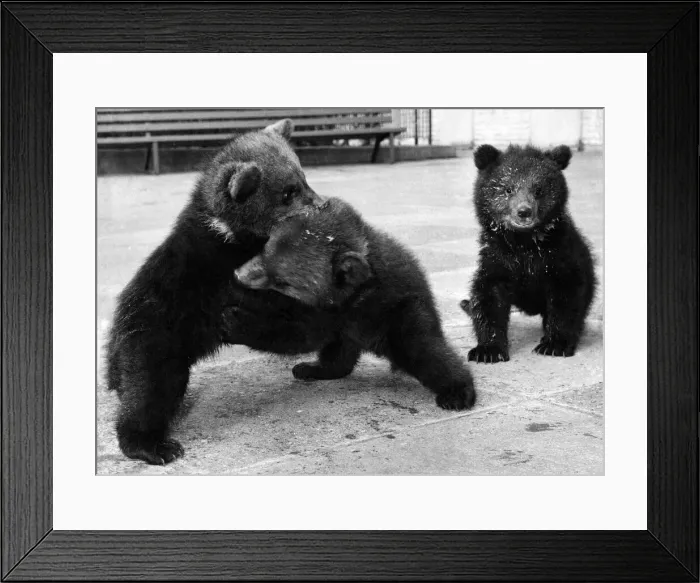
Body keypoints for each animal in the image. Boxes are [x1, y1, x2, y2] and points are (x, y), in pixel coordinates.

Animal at [106, 119, 325, 465]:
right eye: (287, 192)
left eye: (303, 178)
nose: (322, 204)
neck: (231, 231)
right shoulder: (217, 268)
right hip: (156, 337)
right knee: (148, 390)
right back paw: (152, 445)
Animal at [231, 197, 477, 411]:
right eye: (265, 249)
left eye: (282, 281)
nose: (239, 275)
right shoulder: (339, 317)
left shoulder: (345, 309)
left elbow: (296, 335)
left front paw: (238, 321)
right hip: (352, 334)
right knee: (339, 356)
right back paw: (315, 369)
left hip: (402, 317)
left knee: (425, 350)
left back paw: (458, 391)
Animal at [461, 143, 596, 363]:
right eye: (507, 188)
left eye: (539, 190)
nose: (524, 212)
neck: (524, 243)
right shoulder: (497, 257)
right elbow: (488, 296)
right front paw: (488, 350)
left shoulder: (559, 254)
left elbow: (567, 295)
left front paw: (554, 345)